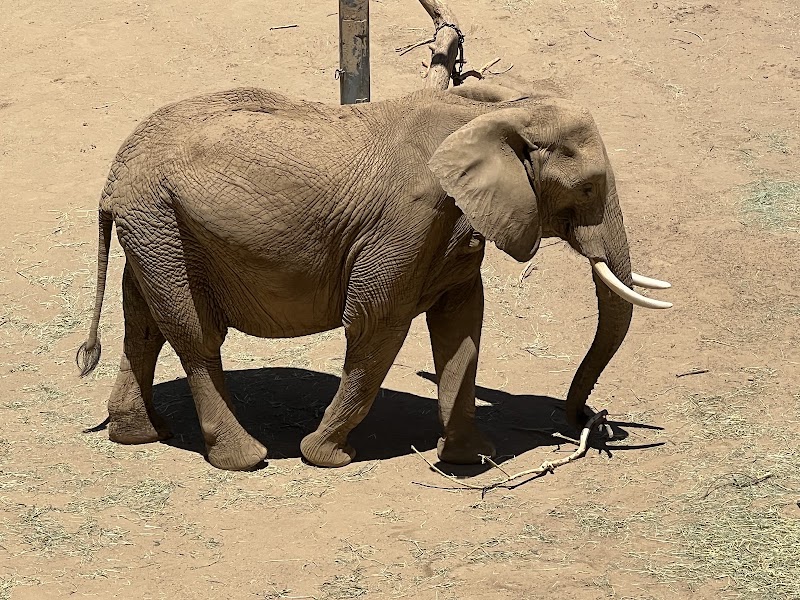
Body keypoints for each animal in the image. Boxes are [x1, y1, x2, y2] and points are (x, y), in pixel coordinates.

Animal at [77, 79, 671, 471]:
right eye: (588, 187)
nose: (587, 417)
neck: (489, 113)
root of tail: (111, 177)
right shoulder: (409, 220)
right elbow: (377, 322)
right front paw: (328, 457)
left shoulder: (453, 227)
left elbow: (462, 325)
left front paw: (471, 457)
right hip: (161, 221)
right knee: (195, 334)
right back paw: (245, 459)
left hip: (154, 227)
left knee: (143, 323)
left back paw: (139, 434)